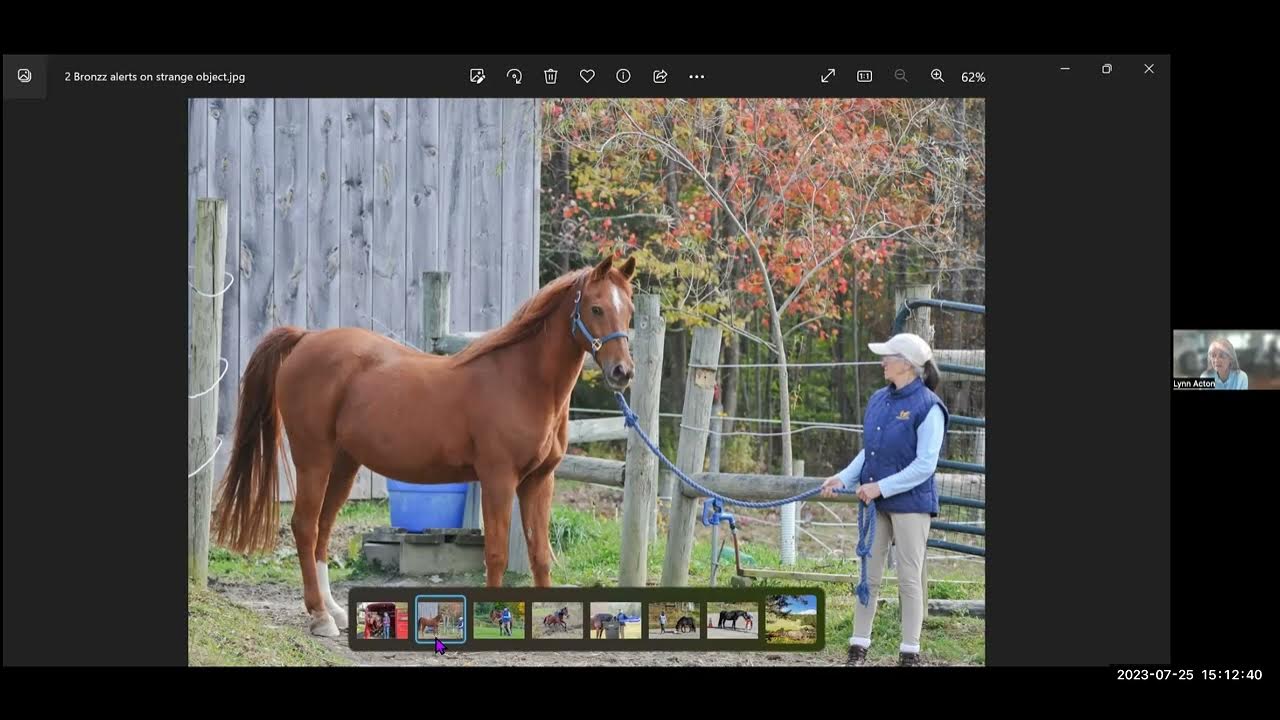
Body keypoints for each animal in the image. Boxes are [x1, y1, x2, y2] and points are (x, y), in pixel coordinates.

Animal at [210, 256, 638, 637]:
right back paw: (319, 617)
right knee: (303, 525)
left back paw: (334, 610)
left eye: (630, 310)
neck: (522, 382)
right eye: (597, 308)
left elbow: (540, 555)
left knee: (322, 529)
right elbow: (497, 553)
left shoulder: (539, 480)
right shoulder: (498, 479)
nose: (623, 372)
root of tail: (307, 339)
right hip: (313, 457)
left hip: (344, 464)